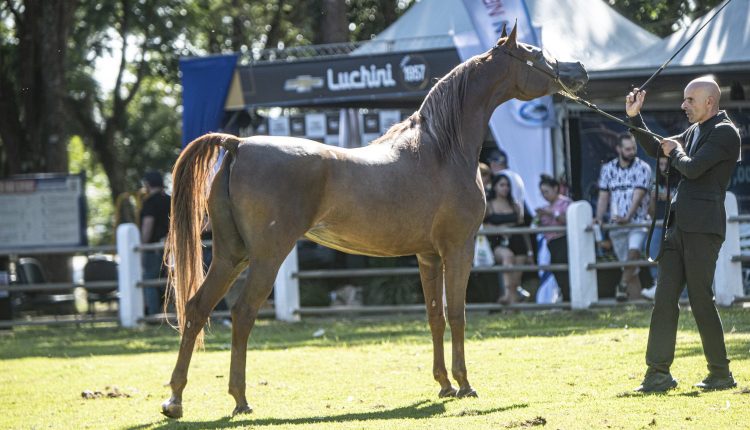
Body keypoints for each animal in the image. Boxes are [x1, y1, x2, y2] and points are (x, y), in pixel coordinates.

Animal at [162, 25, 592, 418]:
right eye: (537, 54)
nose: (580, 69)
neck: (442, 150)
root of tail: (238, 144)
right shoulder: (459, 248)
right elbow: (457, 313)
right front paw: (465, 384)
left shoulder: (428, 256)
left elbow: (435, 316)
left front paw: (443, 384)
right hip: (267, 257)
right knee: (242, 314)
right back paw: (240, 399)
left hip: (230, 256)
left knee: (197, 308)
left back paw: (175, 400)